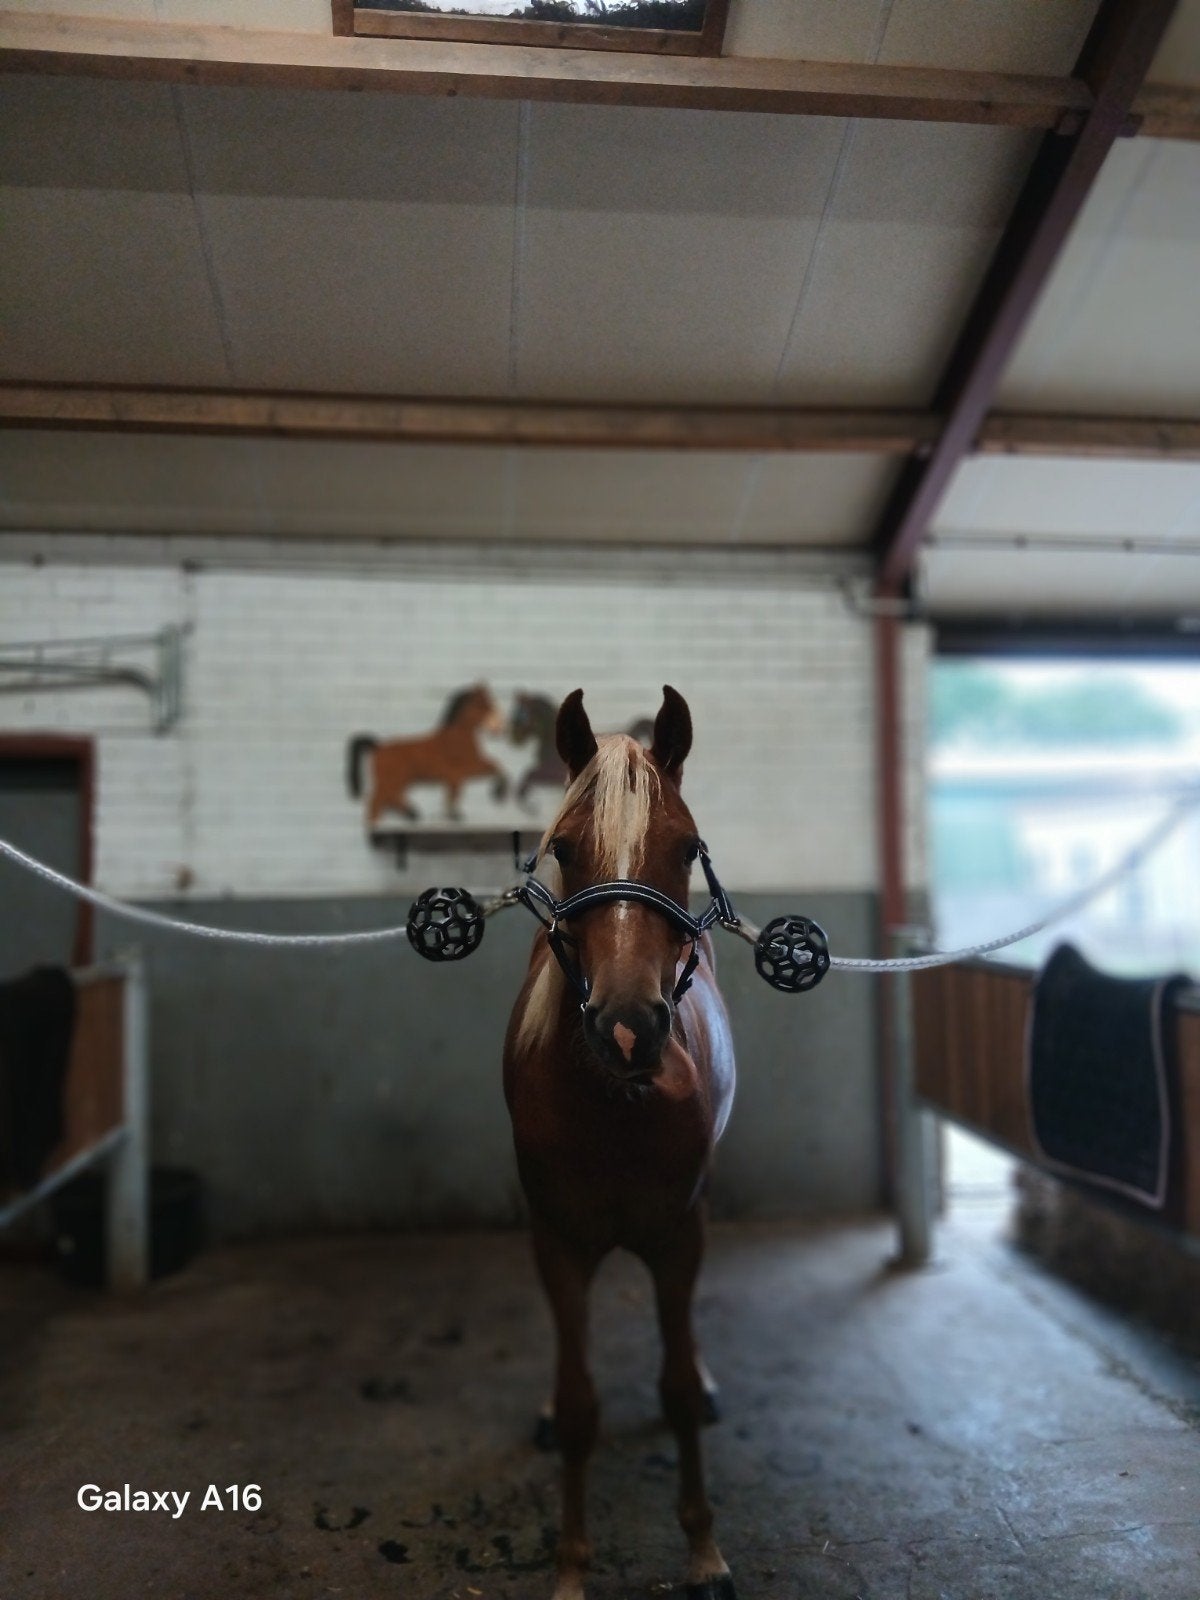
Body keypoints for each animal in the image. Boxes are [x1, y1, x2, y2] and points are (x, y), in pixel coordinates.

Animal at [346, 684, 508, 825]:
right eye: (484, 705)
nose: (498, 729)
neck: (457, 739)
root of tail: (378, 747)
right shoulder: (465, 771)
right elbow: (495, 766)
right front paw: (497, 793)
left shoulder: (457, 776)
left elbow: (454, 794)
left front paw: (454, 815)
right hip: (391, 781)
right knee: (378, 801)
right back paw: (407, 813)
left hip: (400, 782)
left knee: (385, 801)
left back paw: (408, 813)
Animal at [503, 686, 737, 1600]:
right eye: (564, 850)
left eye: (688, 847)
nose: (630, 1028)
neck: (616, 1106)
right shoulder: (558, 1240)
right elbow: (577, 1409)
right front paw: (571, 1567)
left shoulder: (679, 1235)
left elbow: (672, 1390)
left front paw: (704, 1552)